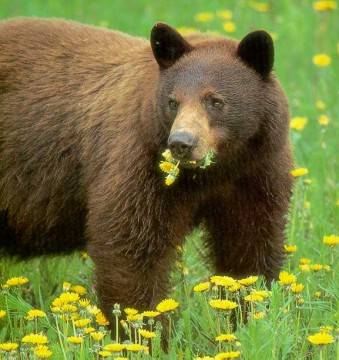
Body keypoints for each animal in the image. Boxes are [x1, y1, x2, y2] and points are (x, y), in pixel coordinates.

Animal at [0, 18, 292, 320]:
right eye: (173, 102)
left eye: (215, 101)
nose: (181, 143)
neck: (212, 173)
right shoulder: (140, 163)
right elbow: (133, 246)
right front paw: (146, 324)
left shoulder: (255, 172)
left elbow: (248, 244)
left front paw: (247, 313)